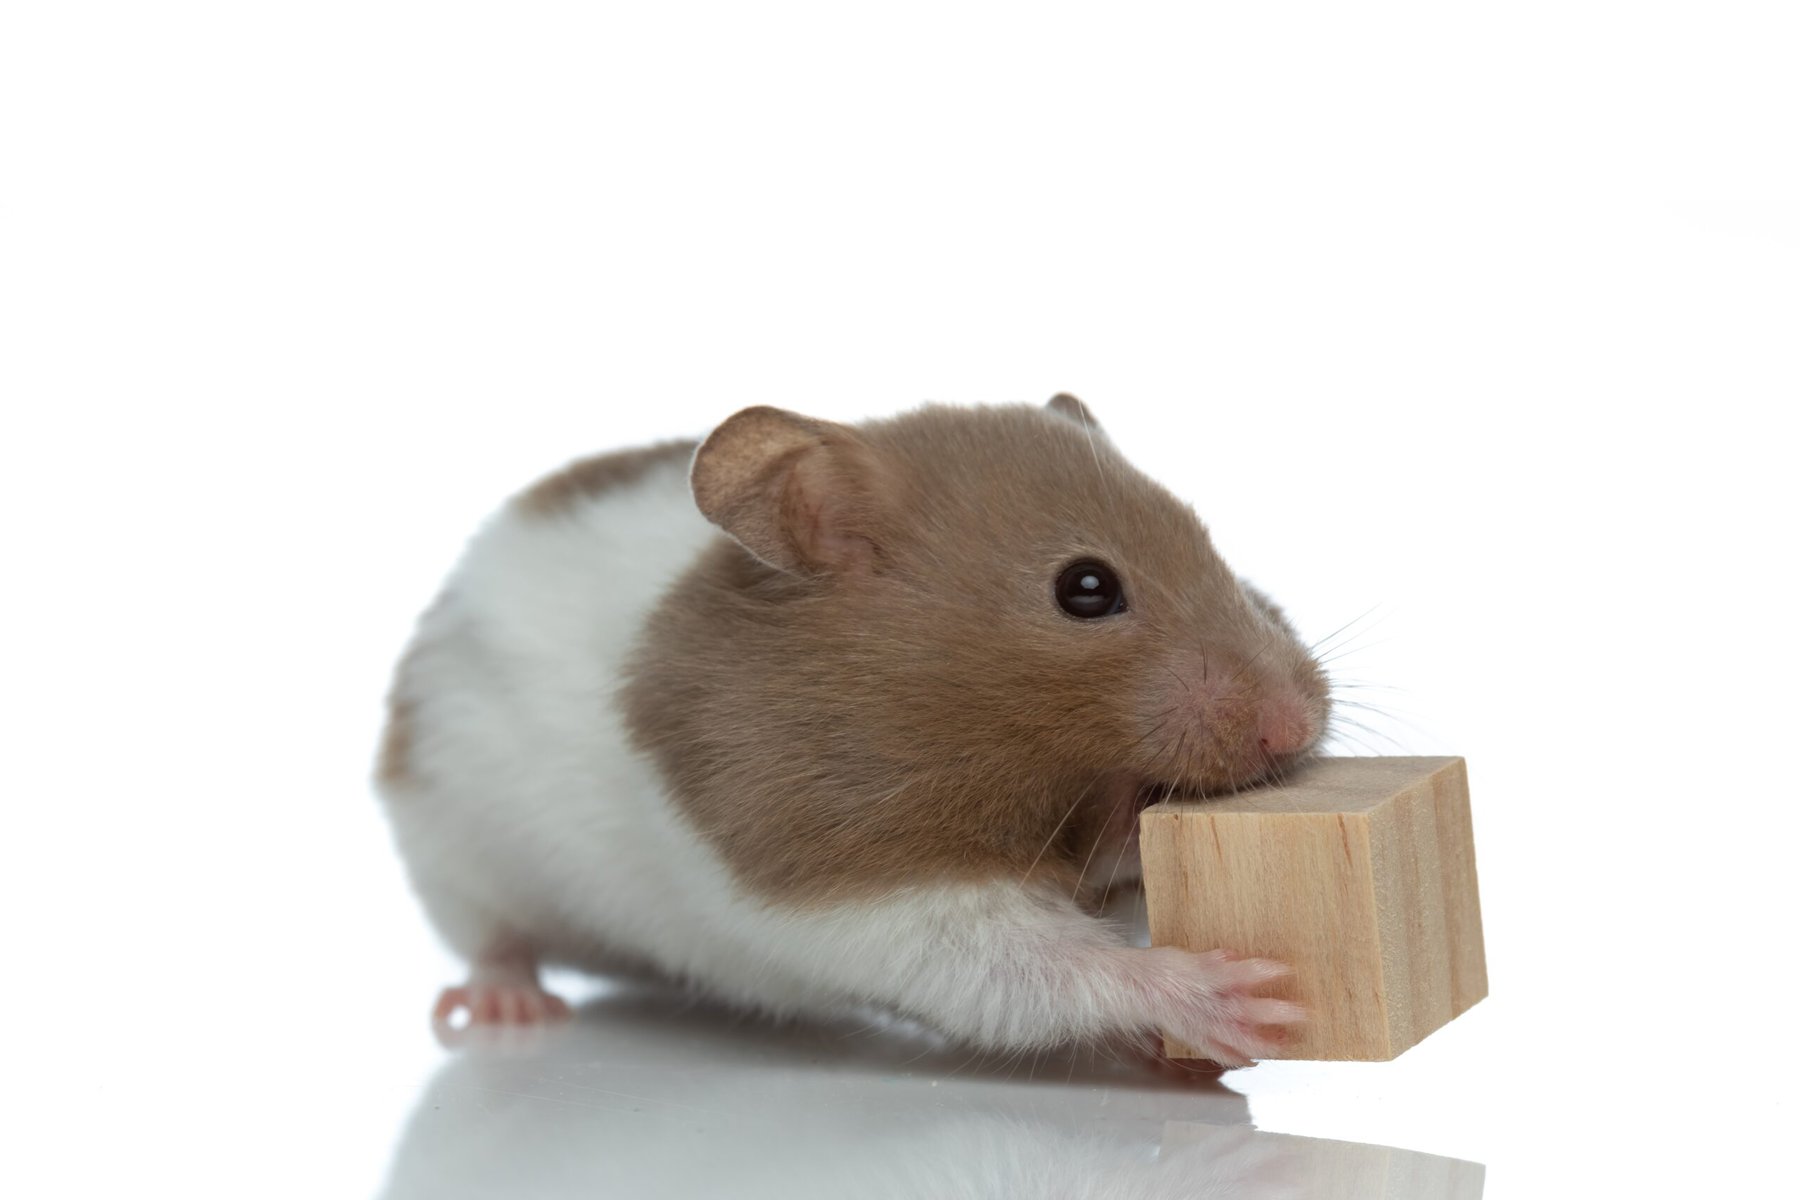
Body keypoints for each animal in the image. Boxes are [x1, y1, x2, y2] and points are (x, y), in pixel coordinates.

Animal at [376, 396, 1330, 1067]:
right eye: (1086, 589)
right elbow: (1032, 963)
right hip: (449, 849)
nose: (1295, 726)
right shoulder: (852, 881)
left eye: (1210, 543)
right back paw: (506, 1009)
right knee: (490, 938)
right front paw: (1247, 1003)